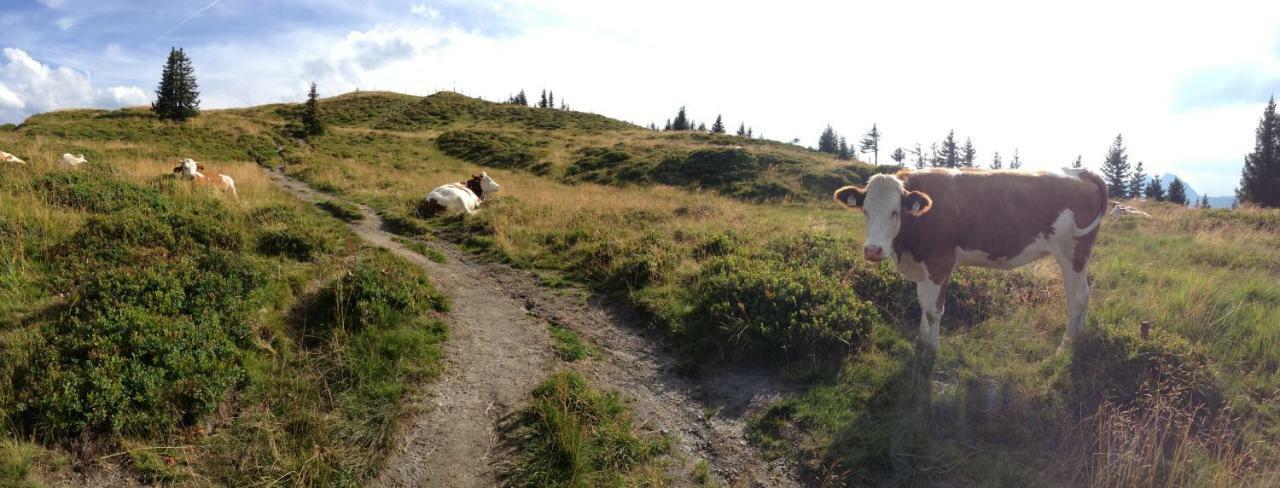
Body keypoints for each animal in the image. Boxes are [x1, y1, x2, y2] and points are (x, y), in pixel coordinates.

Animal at [834, 166, 1105, 350]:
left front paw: (932, 348)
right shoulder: (923, 267)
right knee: (1086, 293)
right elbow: (922, 303)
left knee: (1077, 297)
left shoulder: (940, 264)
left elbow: (933, 310)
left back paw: (1065, 345)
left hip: (1073, 252)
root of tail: (1082, 172)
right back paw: (1079, 335)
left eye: (895, 212)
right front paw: (921, 339)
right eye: (865, 211)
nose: (873, 250)